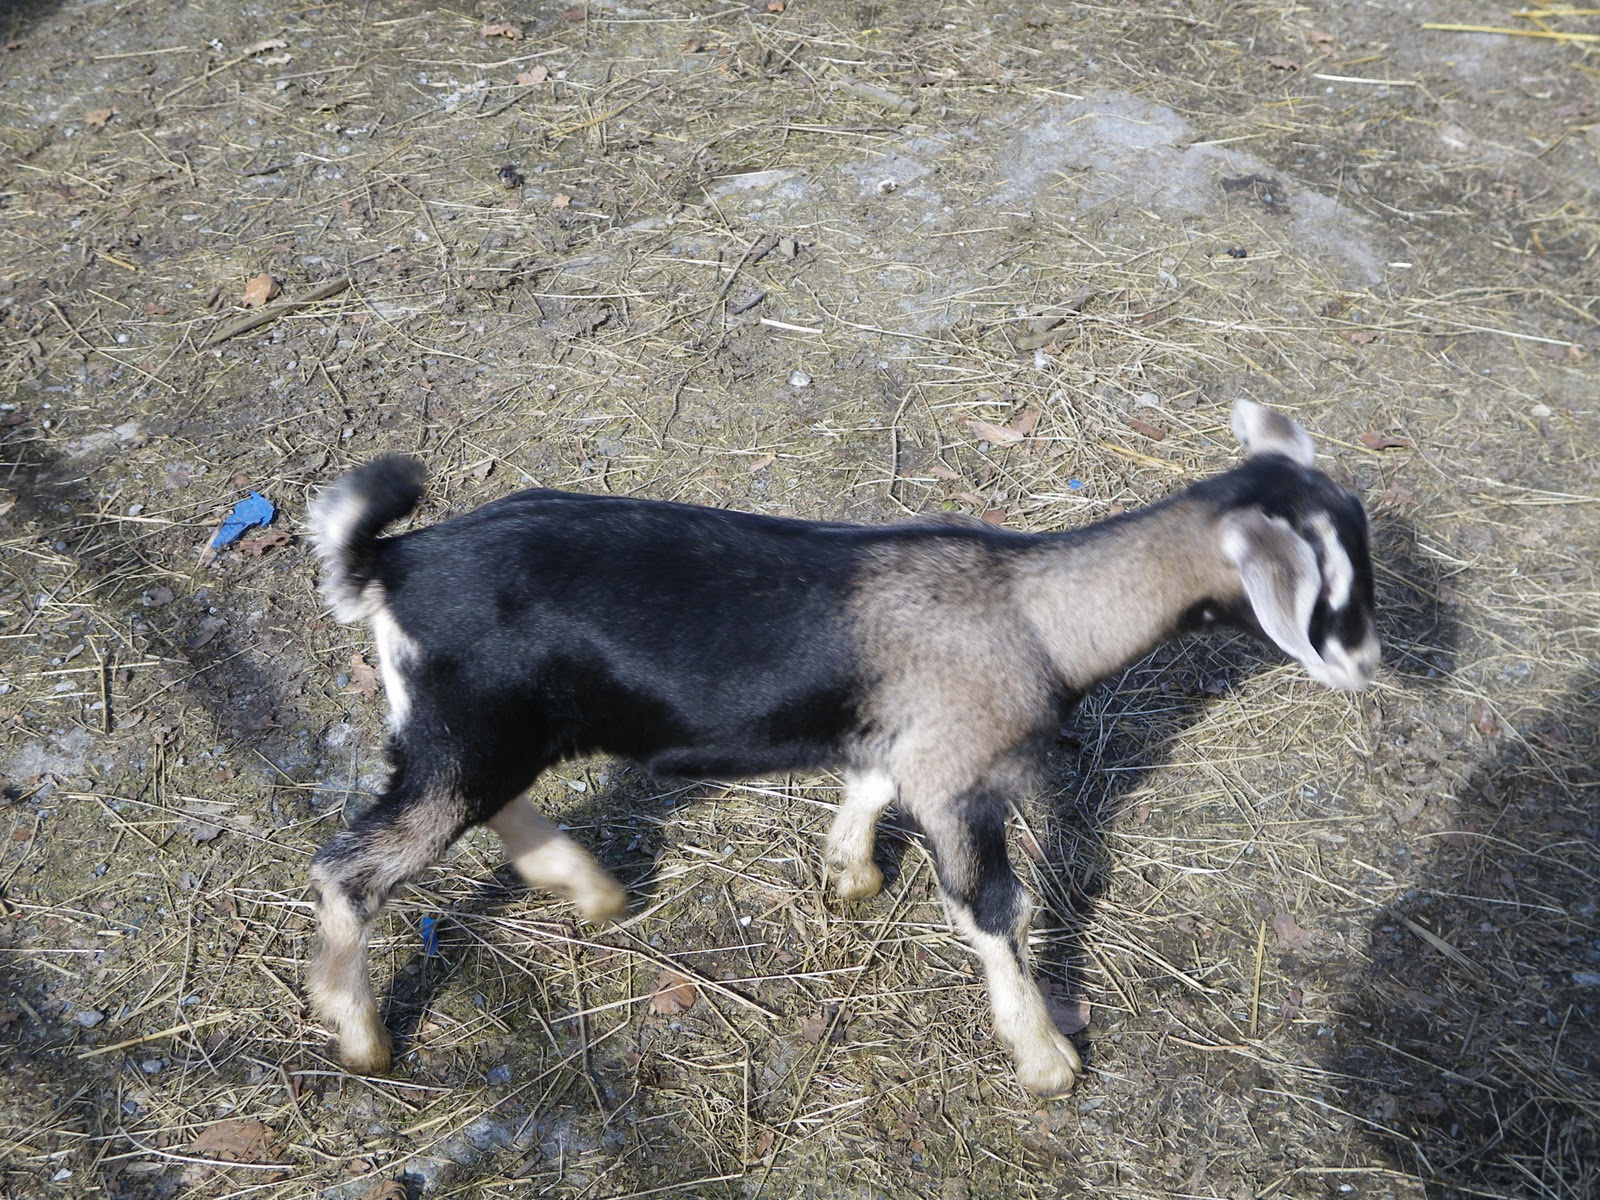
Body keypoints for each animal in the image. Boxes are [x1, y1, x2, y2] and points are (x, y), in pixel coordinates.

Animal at [304, 399, 1378, 1096]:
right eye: (1326, 580)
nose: (1366, 662)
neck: (1034, 612)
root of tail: (392, 563)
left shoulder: (905, 736)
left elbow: (868, 783)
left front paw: (850, 872)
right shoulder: (959, 774)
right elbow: (996, 908)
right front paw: (1043, 1060)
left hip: (484, 727)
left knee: (479, 803)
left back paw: (591, 889)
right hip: (469, 726)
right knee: (354, 865)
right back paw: (360, 1038)